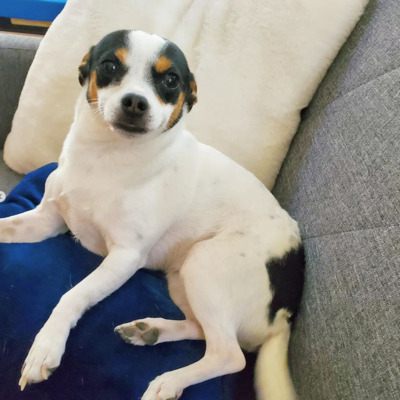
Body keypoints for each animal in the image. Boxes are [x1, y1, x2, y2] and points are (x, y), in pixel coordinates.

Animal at [0, 29, 304, 398]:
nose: (135, 102)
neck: (105, 156)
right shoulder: (46, 220)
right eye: (109, 65)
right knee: (202, 331)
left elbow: (72, 295)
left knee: (229, 355)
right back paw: (151, 332)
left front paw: (47, 345)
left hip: (205, 266)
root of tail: (287, 310)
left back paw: (169, 382)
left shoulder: (125, 257)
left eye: (171, 80)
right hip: (181, 277)